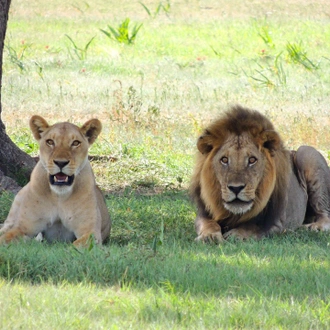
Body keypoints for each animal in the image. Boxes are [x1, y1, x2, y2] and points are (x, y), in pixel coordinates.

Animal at [0, 114, 111, 246]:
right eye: (50, 142)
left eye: (75, 143)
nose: (61, 163)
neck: (59, 196)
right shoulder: (23, 227)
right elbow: (5, 239)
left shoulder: (90, 232)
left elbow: (77, 245)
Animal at [189, 105, 330, 242]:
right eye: (224, 160)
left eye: (252, 160)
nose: (236, 188)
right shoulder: (203, 214)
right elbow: (209, 224)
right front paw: (209, 236)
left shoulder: (276, 222)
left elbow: (253, 226)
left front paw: (236, 235)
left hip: (306, 152)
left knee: (325, 214)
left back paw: (313, 227)